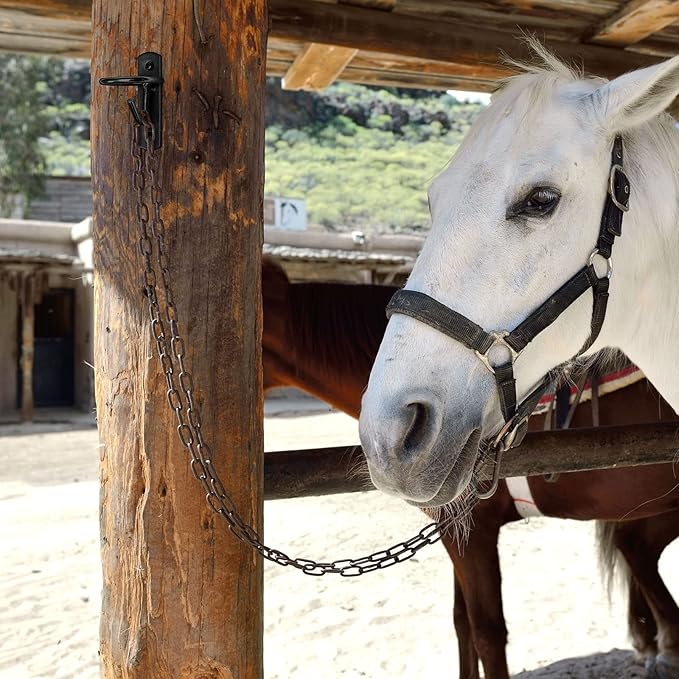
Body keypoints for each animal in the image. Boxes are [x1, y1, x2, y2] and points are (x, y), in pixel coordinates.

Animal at [262, 257, 679, 678]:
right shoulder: (454, 531)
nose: (391, 440)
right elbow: (461, 622)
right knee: (635, 548)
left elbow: (485, 631)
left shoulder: (473, 532)